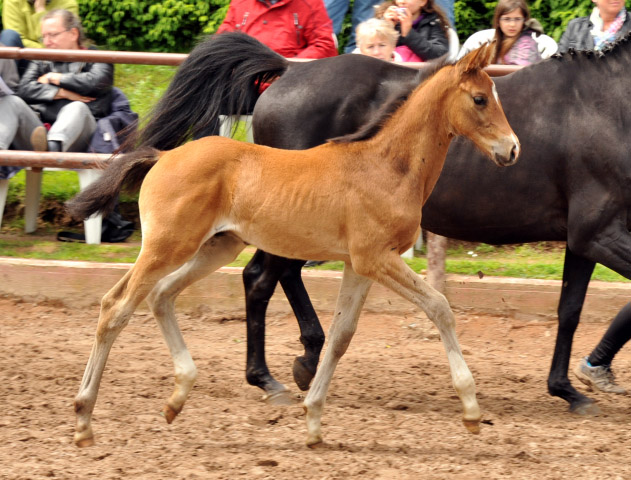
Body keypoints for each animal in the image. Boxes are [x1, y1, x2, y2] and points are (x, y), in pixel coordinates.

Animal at [71, 43, 520, 448]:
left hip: (216, 248)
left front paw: (314, 423)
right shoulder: (376, 259)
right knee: (116, 306)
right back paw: (83, 420)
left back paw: (177, 398)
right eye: (480, 99)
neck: (386, 166)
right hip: (167, 246)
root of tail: (164, 156)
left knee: (161, 296)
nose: (512, 148)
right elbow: (440, 307)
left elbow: (340, 335)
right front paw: (471, 410)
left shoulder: (359, 265)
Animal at [133, 32, 631, 416]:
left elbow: (569, 311)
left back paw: (306, 359)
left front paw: (572, 386)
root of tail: (286, 71)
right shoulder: (597, 232)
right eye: (480, 99)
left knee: (282, 276)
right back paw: (270, 377)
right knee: (259, 279)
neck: (607, 105)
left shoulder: (581, 239)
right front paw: (589, 377)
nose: (511, 150)